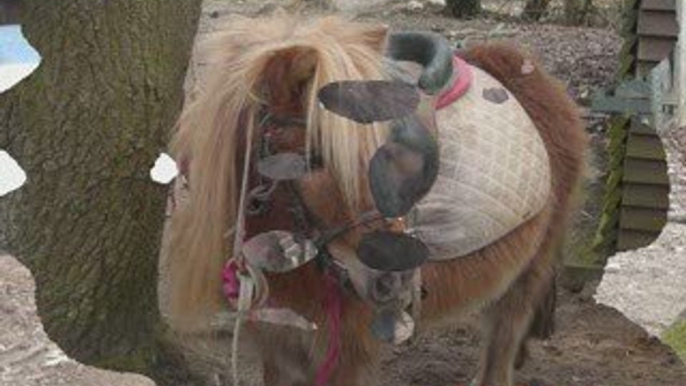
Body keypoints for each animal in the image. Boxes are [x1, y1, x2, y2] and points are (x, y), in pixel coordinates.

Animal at [168, 12, 592, 386]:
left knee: (501, 350)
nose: (396, 280)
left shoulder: (344, 355)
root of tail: (527, 69)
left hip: (524, 278)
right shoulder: (280, 349)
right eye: (313, 159)